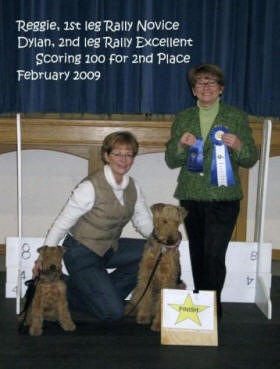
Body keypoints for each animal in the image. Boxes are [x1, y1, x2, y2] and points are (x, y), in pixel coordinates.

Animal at [126, 203, 187, 332]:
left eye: (177, 222)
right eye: (164, 221)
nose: (171, 241)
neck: (161, 249)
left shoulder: (168, 278)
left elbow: (161, 303)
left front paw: (158, 324)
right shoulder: (145, 274)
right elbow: (145, 298)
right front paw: (143, 317)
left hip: (181, 286)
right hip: (138, 289)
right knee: (136, 299)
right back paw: (132, 310)